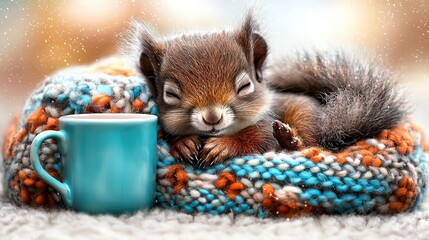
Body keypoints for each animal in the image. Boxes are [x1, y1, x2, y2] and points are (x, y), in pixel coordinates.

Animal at [119, 12, 404, 167]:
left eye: (245, 86)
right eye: (170, 95)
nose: (212, 118)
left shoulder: (266, 123)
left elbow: (259, 140)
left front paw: (225, 146)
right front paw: (183, 144)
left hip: (305, 117)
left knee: (308, 145)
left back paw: (290, 140)